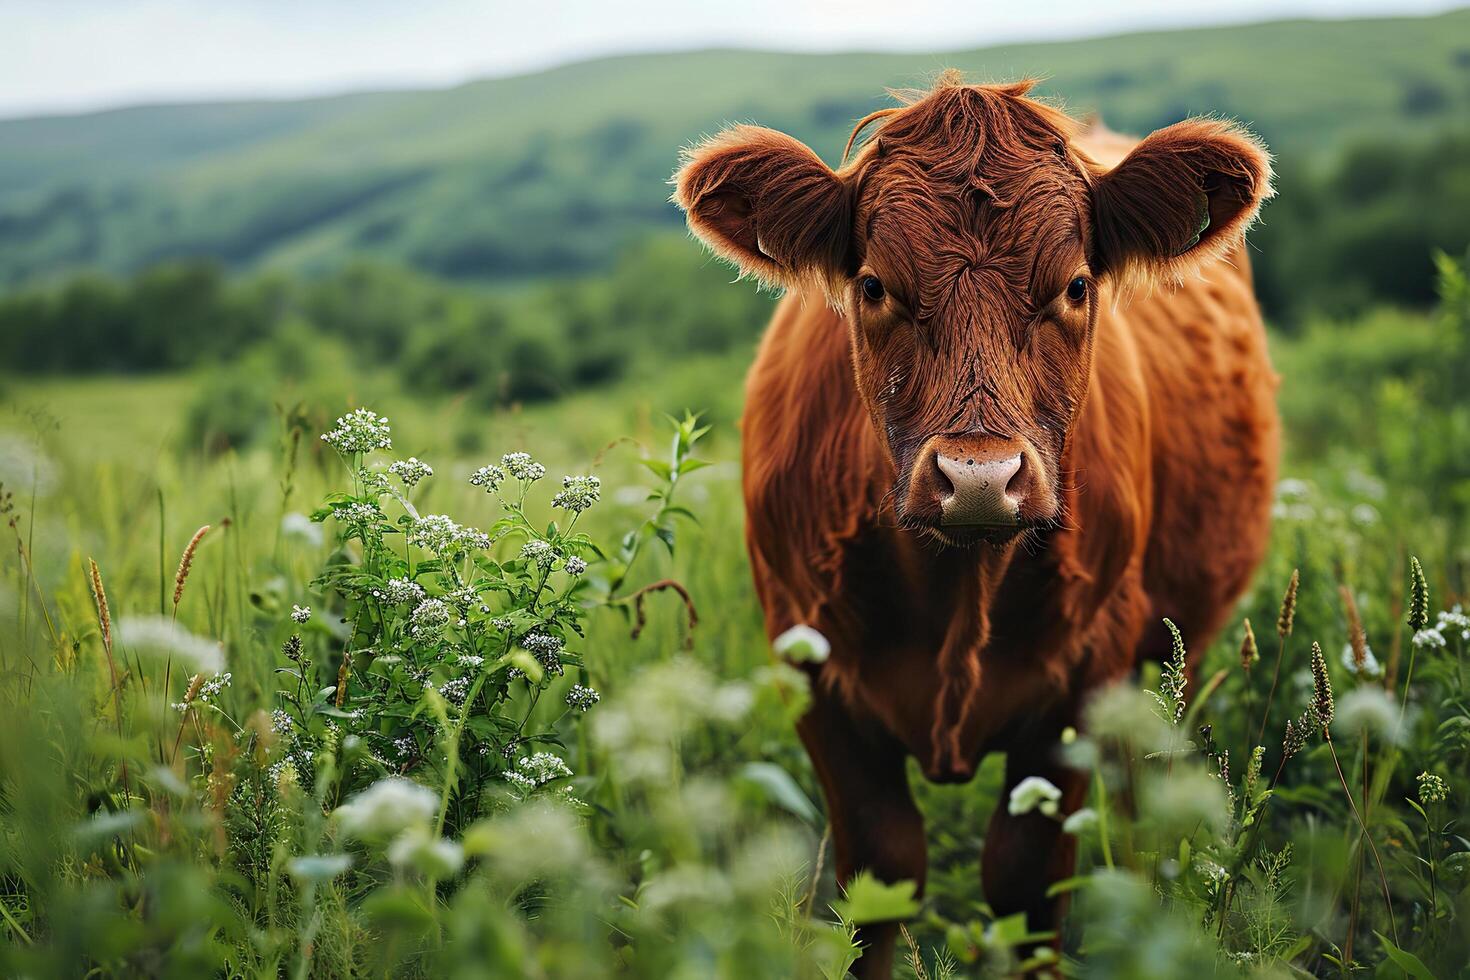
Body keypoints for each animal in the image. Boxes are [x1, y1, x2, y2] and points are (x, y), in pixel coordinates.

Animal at [673, 74, 1270, 975]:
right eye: (875, 286)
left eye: (1076, 286)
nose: (980, 480)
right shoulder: (809, 664)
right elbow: (880, 874)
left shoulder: (1088, 669)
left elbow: (1027, 881)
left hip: (1178, 648)